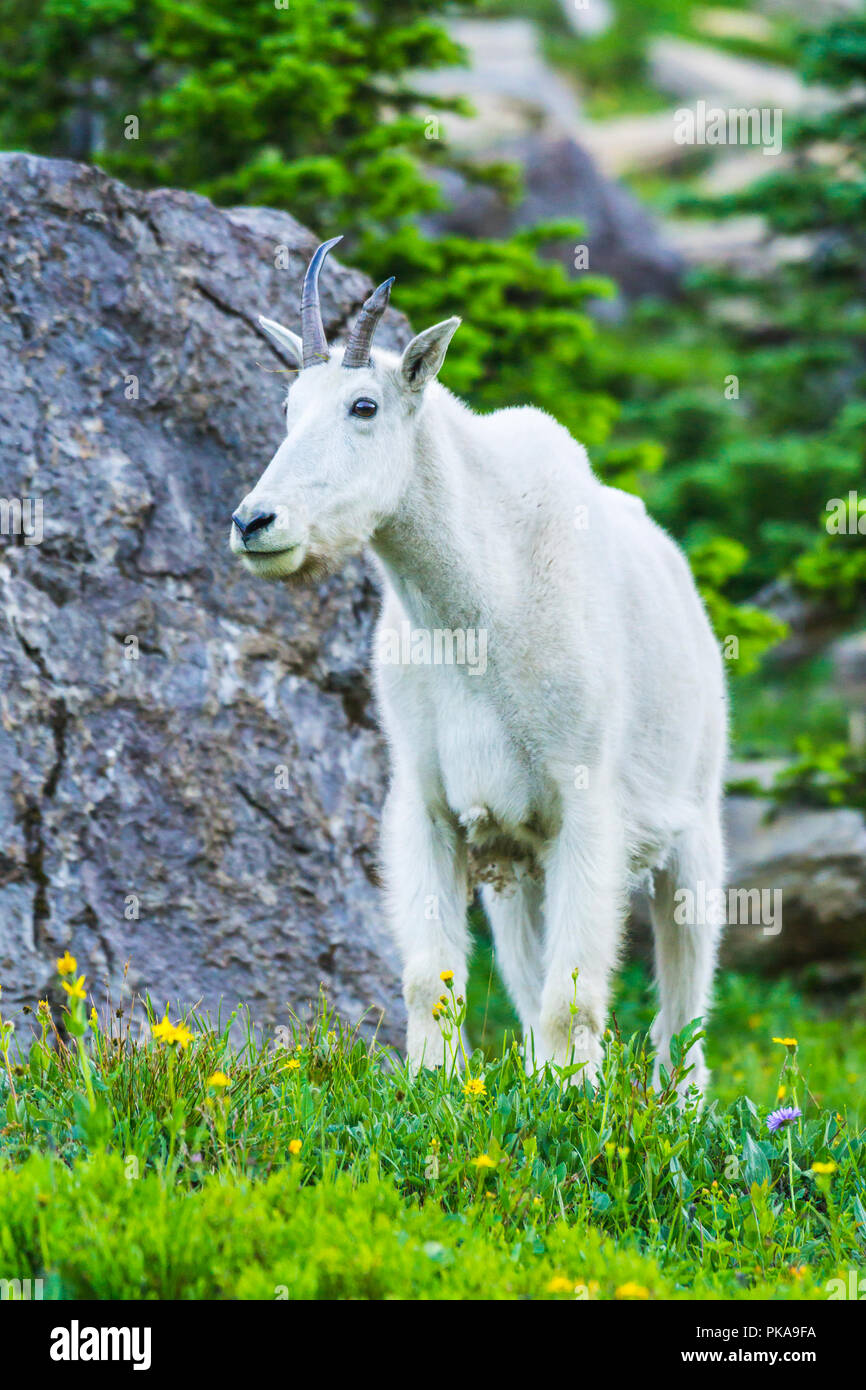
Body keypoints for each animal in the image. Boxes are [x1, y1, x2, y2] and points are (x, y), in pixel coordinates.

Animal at [231, 238, 727, 1095]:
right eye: (288, 410)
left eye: (364, 407)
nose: (256, 522)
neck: (477, 611)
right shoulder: (430, 805)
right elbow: (431, 979)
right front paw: (439, 1094)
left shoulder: (588, 805)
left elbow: (575, 996)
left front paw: (574, 1104)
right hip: (518, 870)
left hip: (694, 827)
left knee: (684, 1012)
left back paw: (681, 1108)